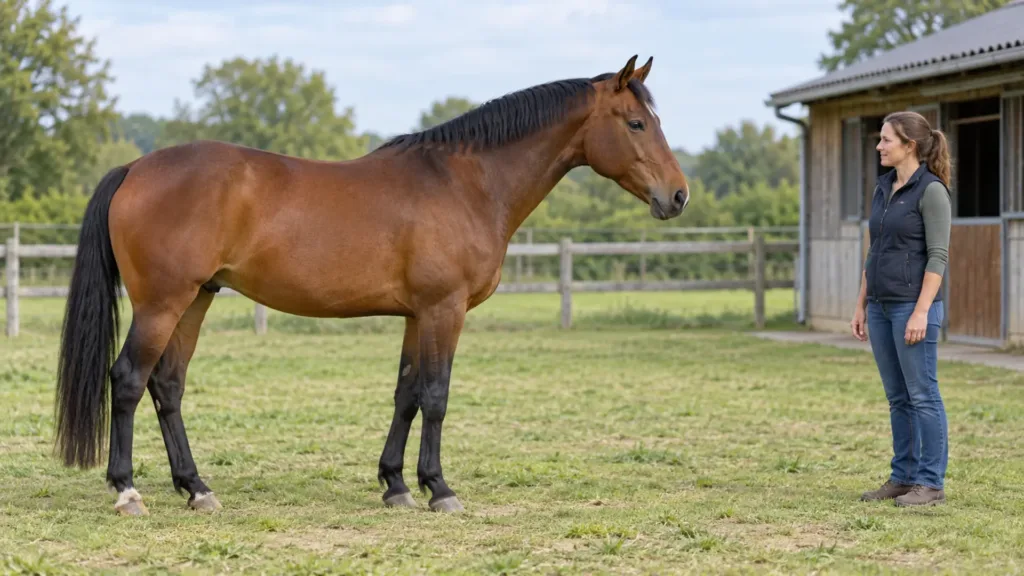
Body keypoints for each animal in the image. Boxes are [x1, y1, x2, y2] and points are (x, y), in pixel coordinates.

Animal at [53, 54, 689, 516]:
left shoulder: (416, 315)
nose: (678, 195)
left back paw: (197, 488)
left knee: (167, 386)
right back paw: (127, 491)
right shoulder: (444, 310)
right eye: (636, 123)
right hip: (163, 303)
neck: (467, 183)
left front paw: (396, 486)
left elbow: (406, 393)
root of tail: (135, 168)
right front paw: (440, 489)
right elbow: (436, 395)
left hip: (195, 300)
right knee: (128, 380)